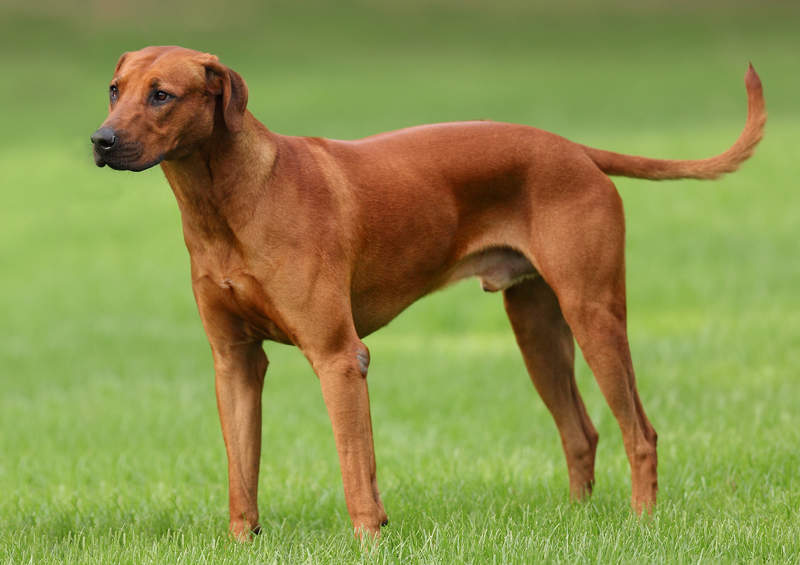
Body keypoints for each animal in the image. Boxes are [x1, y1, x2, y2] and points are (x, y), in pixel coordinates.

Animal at [90, 45, 764, 536]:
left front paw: (370, 539)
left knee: (639, 432)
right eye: (115, 89)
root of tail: (573, 148)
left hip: (594, 314)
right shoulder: (234, 362)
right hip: (538, 330)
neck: (227, 202)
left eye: (162, 95)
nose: (99, 141)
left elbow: (355, 468)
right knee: (581, 432)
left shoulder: (339, 358)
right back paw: (577, 520)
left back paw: (642, 523)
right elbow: (242, 473)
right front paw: (242, 543)